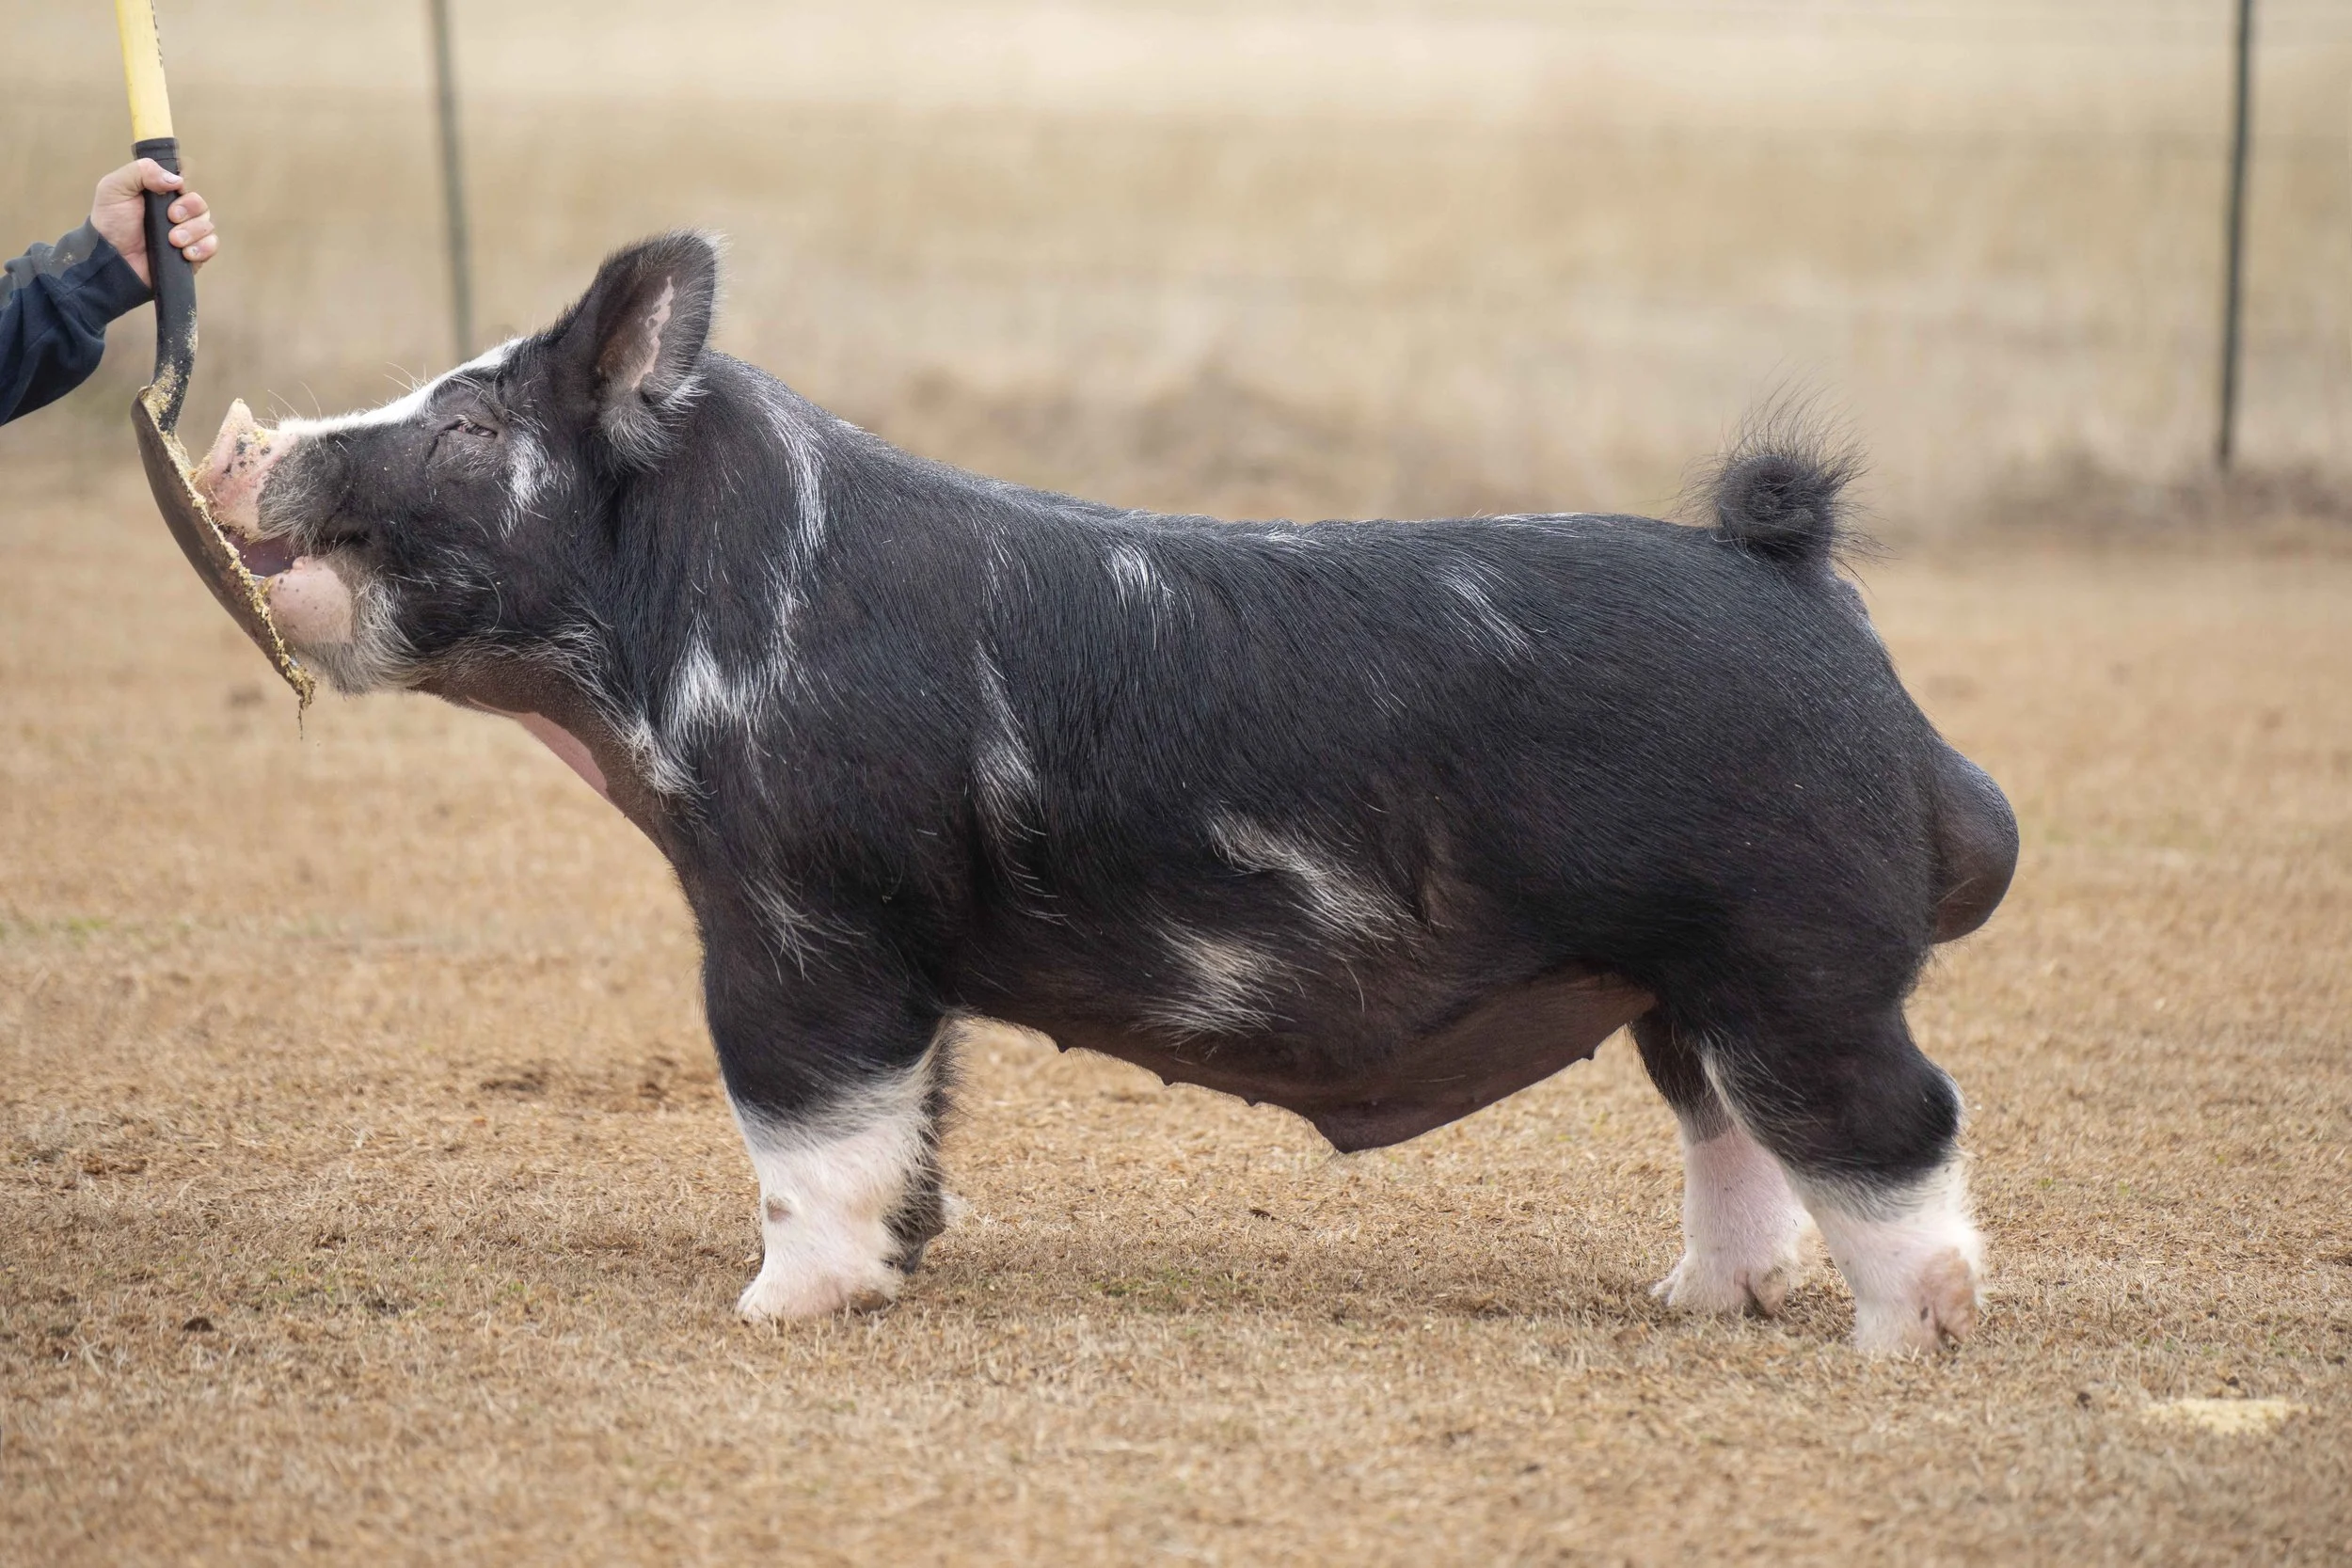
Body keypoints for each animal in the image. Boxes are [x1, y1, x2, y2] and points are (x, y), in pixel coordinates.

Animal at [195, 233, 2017, 1352]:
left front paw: (775, 1309)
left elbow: (802, 1116)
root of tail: (1804, 589)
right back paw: (1692, 1301)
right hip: (1684, 980)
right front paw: (897, 1262)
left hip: (1794, 947)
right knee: (1736, 1136)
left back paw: (1907, 1334)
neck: (697, 635)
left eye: (469, 420)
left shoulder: (803, 906)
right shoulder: (906, 953)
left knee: (1898, 1122)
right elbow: (911, 1112)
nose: (245, 445)